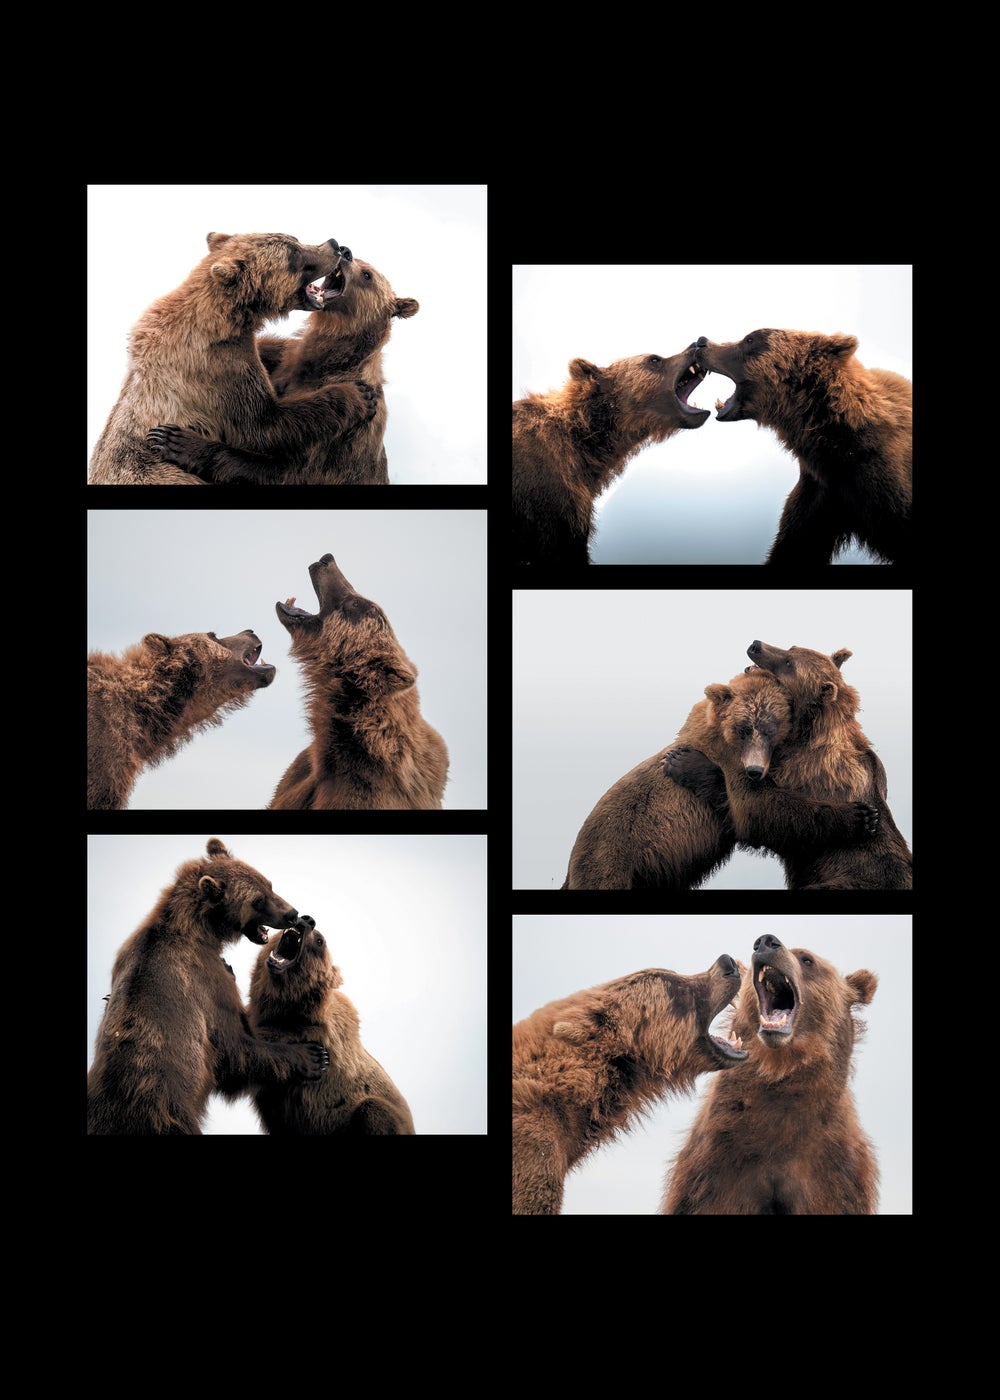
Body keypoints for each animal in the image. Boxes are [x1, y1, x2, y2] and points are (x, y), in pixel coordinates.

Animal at [87, 839, 329, 1135]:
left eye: (269, 884)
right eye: (257, 901)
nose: (293, 914)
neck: (201, 933)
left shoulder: (125, 956)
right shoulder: (205, 984)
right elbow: (235, 1047)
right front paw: (312, 1056)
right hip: (168, 1111)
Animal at [89, 231, 371, 485]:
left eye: (295, 239)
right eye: (294, 257)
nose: (334, 245)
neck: (225, 321)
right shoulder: (216, 368)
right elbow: (265, 425)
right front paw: (357, 393)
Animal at [145, 248, 417, 485]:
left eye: (368, 275)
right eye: (358, 259)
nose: (346, 251)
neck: (327, 362)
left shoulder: (339, 443)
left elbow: (282, 465)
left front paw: (176, 441)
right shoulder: (285, 362)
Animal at [665, 640, 912, 889]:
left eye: (789, 663)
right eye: (792, 648)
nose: (756, 645)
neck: (805, 731)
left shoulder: (808, 769)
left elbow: (758, 808)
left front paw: (685, 761)